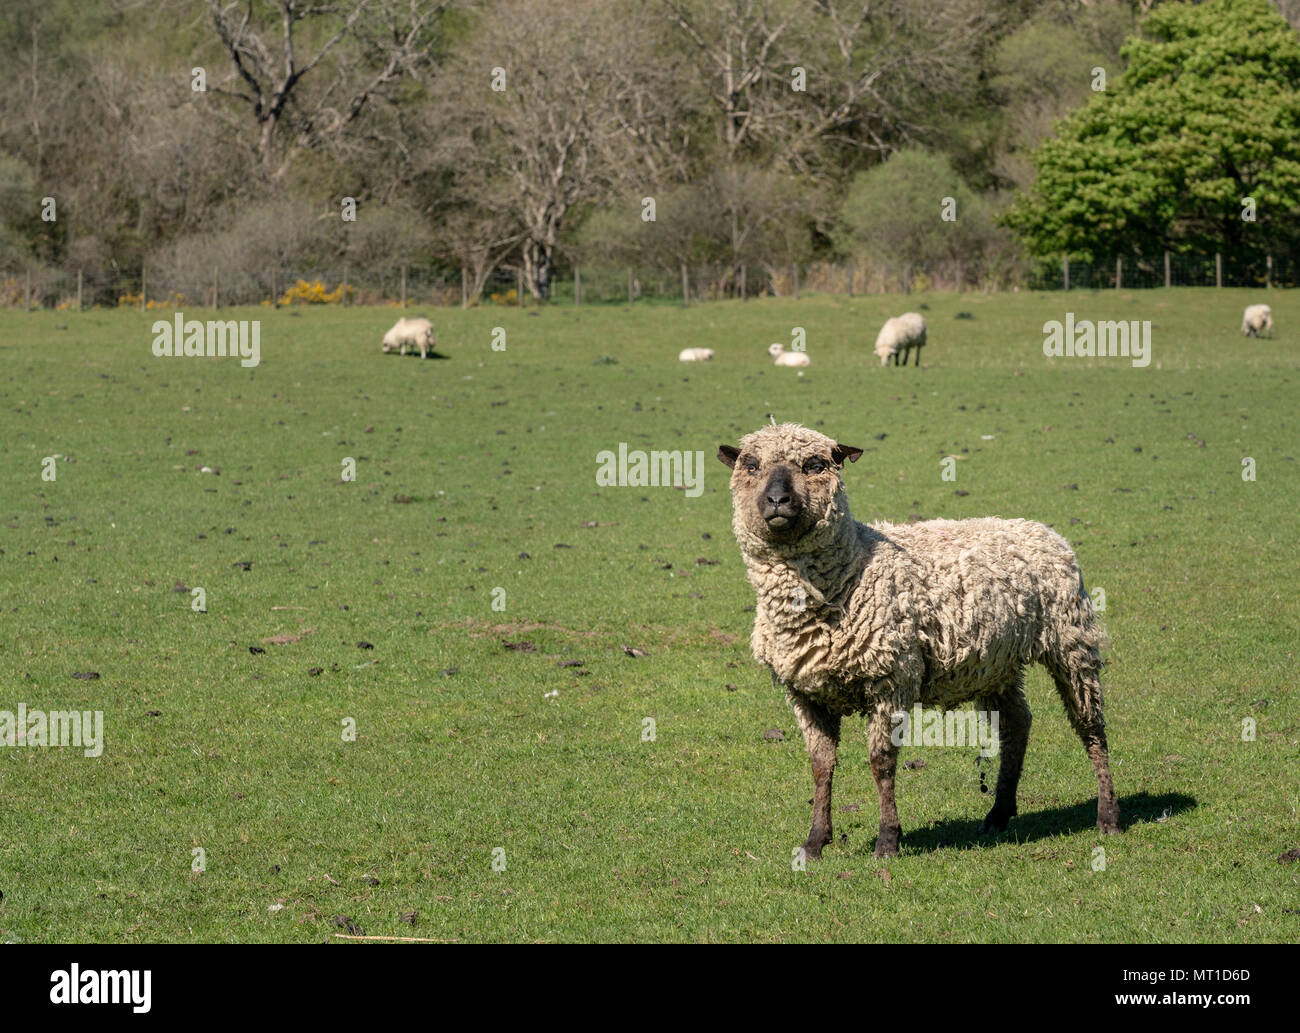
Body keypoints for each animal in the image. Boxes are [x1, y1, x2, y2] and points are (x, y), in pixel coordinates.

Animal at [717, 423, 1123, 862]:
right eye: (750, 465)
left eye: (814, 465)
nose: (777, 500)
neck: (851, 569)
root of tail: (1041, 528)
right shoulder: (805, 693)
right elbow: (821, 766)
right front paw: (814, 842)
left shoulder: (891, 679)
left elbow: (881, 762)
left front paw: (887, 841)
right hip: (995, 663)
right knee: (1017, 723)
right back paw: (998, 813)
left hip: (1071, 642)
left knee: (1090, 726)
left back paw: (1108, 816)